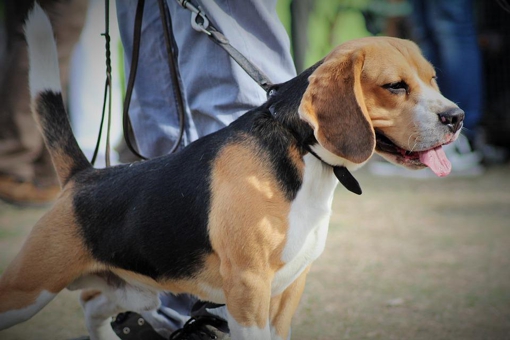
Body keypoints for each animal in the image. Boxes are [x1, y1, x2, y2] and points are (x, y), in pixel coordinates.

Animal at [0, 4, 462, 340]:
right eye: (395, 86)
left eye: (433, 78)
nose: (456, 118)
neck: (302, 149)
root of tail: (84, 176)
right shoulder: (248, 287)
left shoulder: (289, 289)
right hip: (29, 290)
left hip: (137, 291)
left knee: (93, 305)